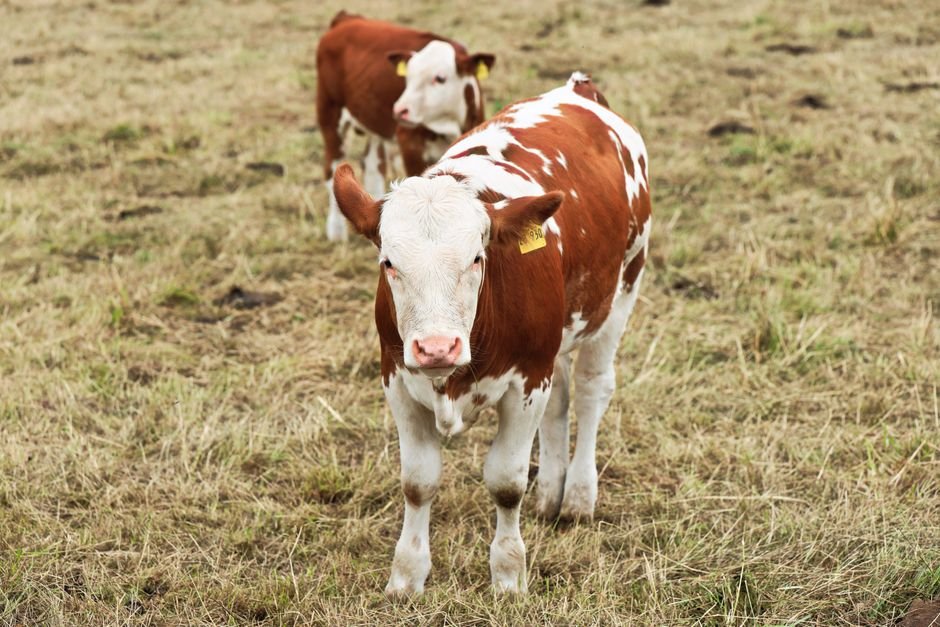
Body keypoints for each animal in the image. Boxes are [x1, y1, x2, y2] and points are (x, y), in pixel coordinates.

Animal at [316, 10, 495, 241]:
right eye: (407, 78)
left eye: (440, 78)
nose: (400, 110)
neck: (448, 124)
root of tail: (347, 18)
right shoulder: (409, 143)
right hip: (330, 115)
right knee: (332, 168)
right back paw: (337, 232)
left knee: (373, 164)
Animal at [332, 73, 651, 595]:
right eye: (388, 263)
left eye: (477, 258)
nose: (436, 347)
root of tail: (577, 89)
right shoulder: (396, 379)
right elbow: (417, 481)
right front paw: (407, 575)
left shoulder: (526, 381)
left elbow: (505, 482)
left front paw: (507, 575)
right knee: (561, 400)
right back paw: (551, 493)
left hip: (622, 291)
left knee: (590, 391)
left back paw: (579, 496)